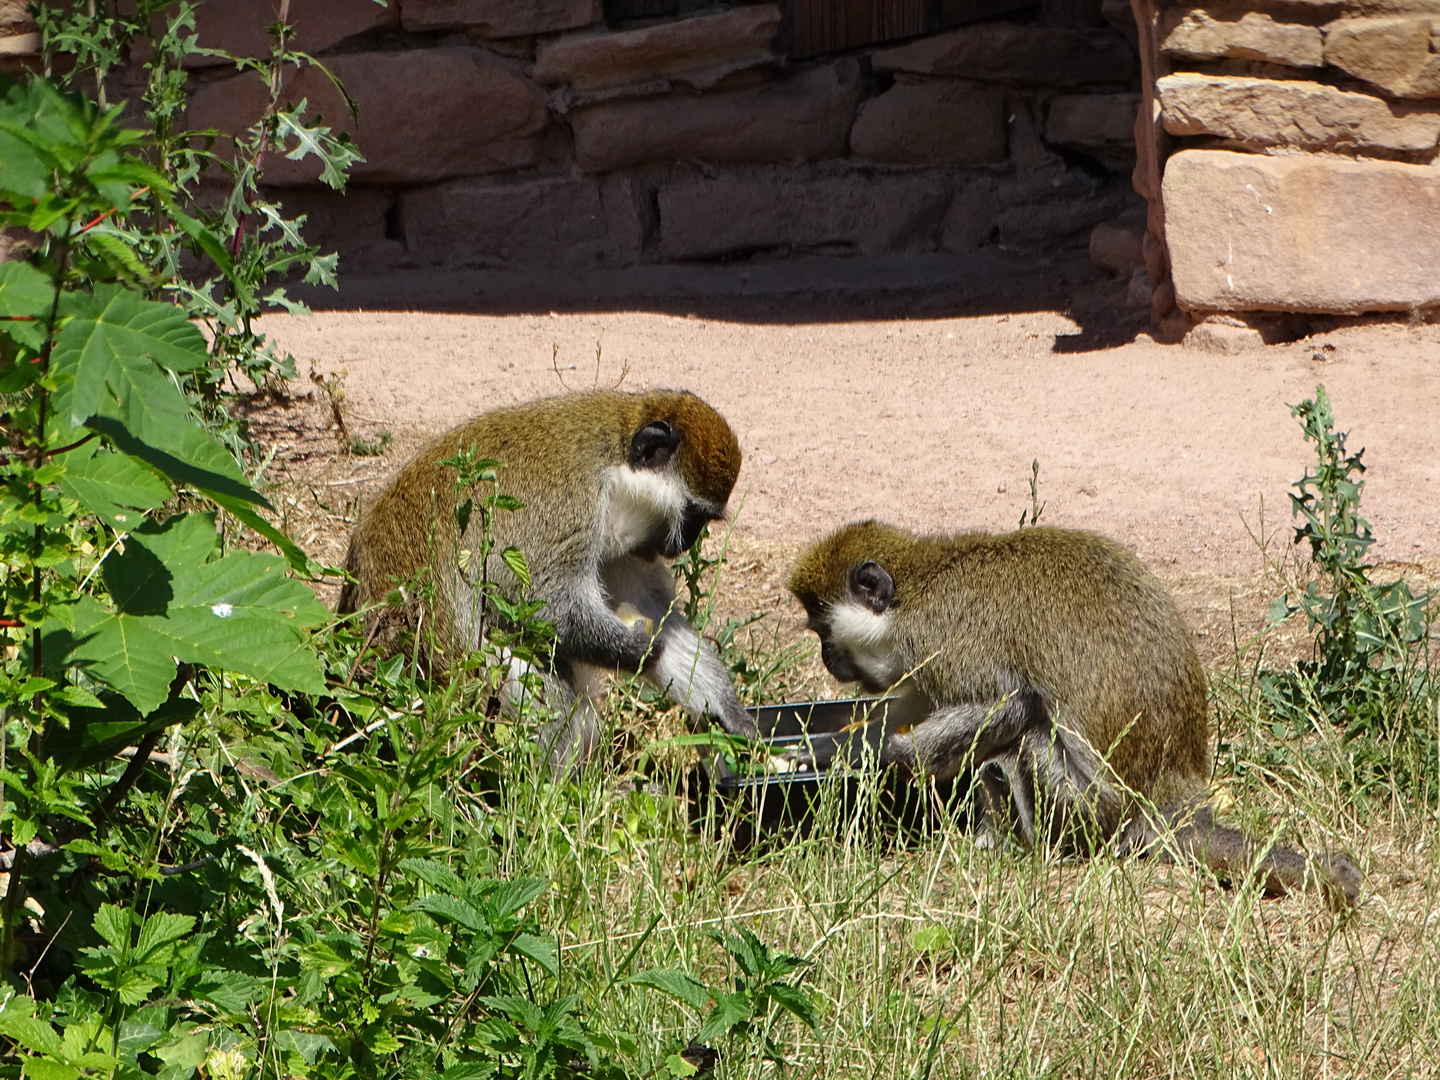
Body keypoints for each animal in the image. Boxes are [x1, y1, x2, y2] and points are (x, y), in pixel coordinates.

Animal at [338, 388, 760, 771]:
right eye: (694, 517)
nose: (684, 544)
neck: (611, 467)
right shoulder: (568, 508)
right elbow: (538, 605)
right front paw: (637, 648)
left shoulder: (621, 544)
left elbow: (655, 613)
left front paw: (729, 713)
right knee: (525, 673)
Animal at [789, 521, 1359, 910]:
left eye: (822, 629)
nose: (826, 658)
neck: (915, 587)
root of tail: (1174, 799)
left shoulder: (939, 639)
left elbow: (1009, 700)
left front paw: (858, 751)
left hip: (1093, 812)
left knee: (1030, 736)